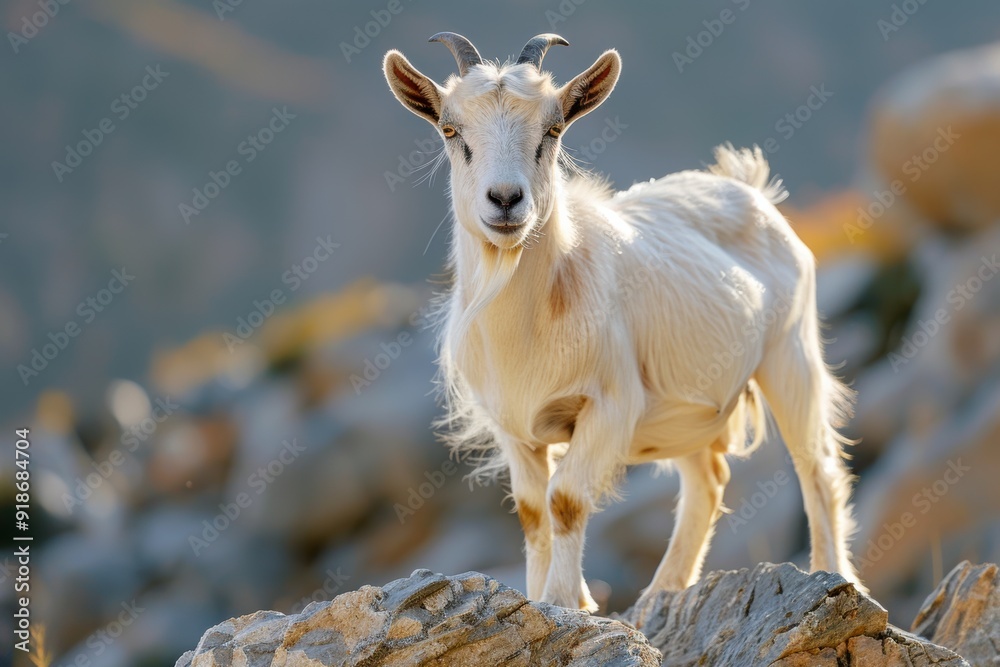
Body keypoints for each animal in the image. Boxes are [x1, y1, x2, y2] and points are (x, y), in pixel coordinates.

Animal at [383, 33, 863, 618]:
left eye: (553, 129)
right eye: (450, 130)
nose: (505, 200)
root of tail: (749, 188)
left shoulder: (610, 405)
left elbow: (565, 500)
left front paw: (567, 601)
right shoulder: (513, 427)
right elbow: (532, 512)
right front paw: (540, 597)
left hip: (791, 354)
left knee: (817, 467)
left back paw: (832, 575)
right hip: (692, 403)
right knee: (708, 481)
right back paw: (663, 592)